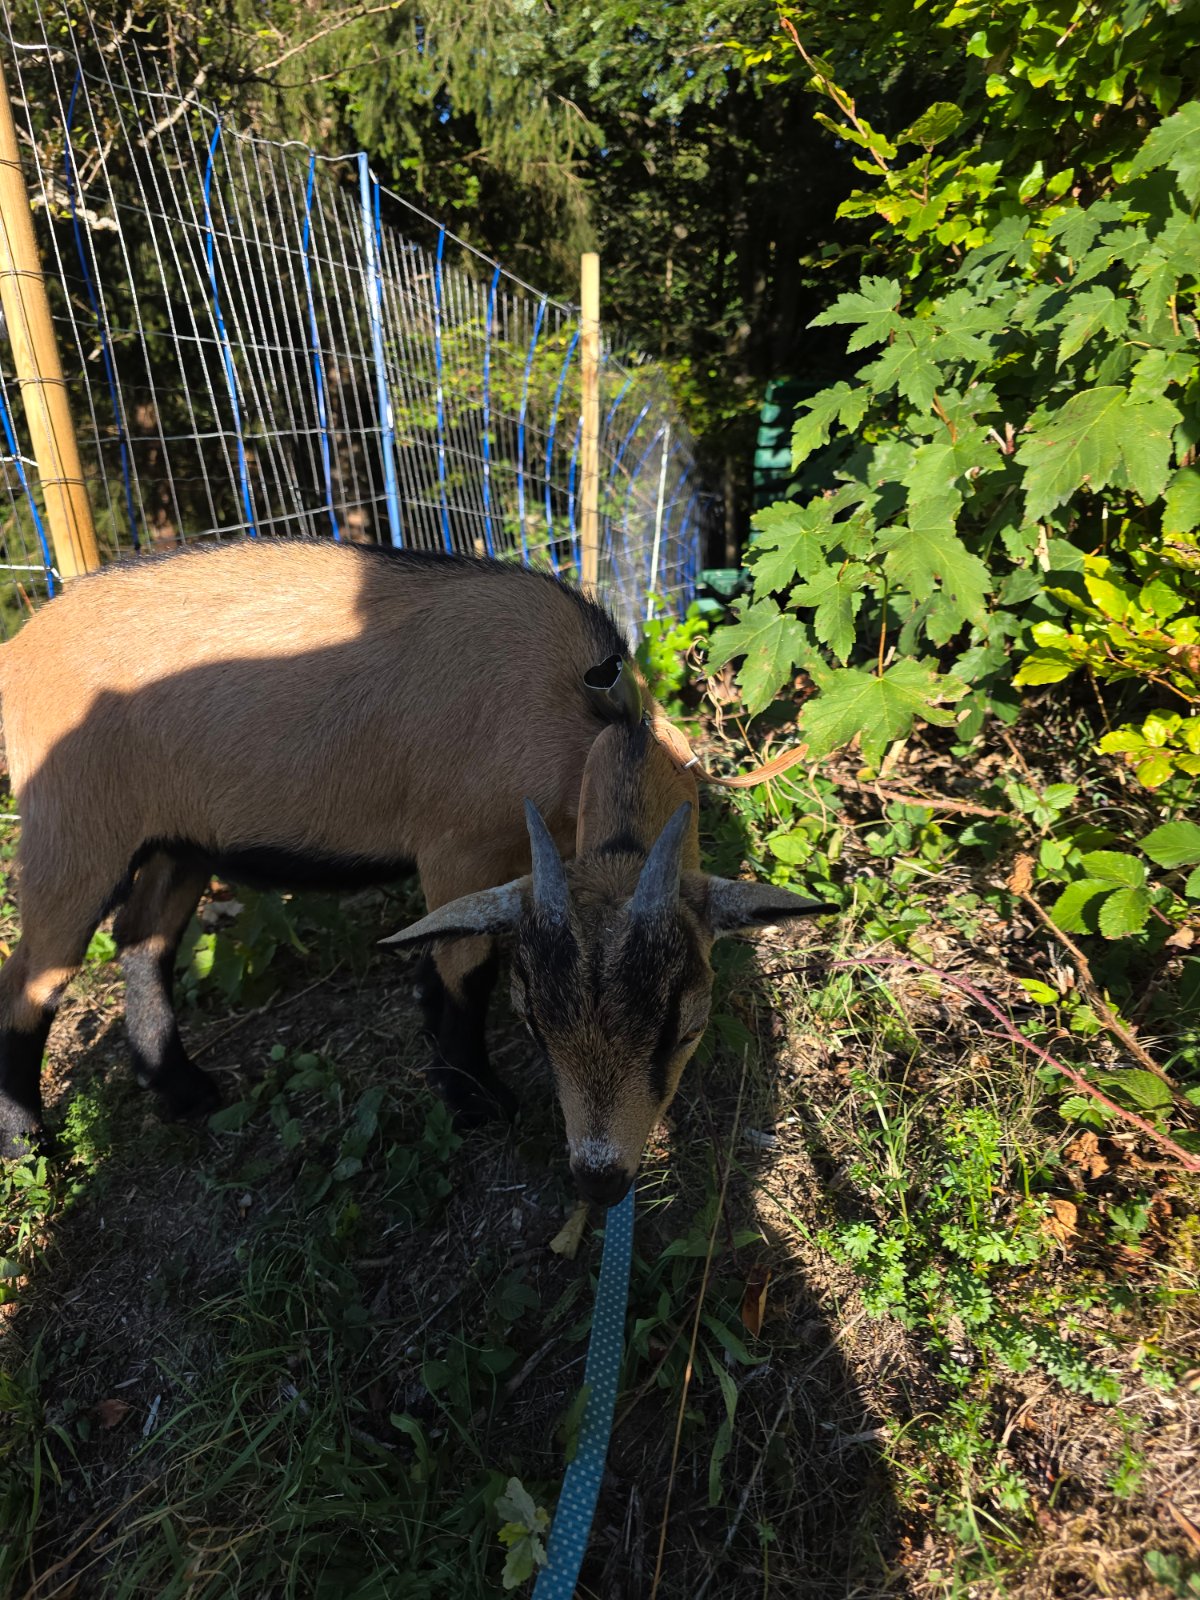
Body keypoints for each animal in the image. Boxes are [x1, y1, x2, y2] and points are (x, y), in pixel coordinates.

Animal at [0, 540, 831, 1201]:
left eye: (683, 1028)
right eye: (535, 1022)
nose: (600, 1178)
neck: (585, 711)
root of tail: (21, 649)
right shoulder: (458, 846)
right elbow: (460, 972)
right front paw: (477, 1102)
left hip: (181, 840)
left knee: (142, 941)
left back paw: (181, 1090)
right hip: (72, 830)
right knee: (30, 978)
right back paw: (26, 1147)